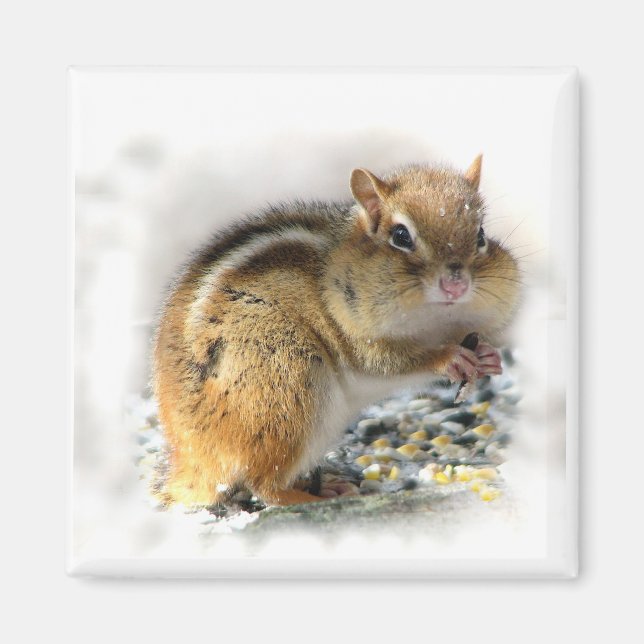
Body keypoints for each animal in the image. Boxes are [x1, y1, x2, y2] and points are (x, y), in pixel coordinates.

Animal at [152, 155, 520, 507]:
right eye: (401, 236)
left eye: (481, 235)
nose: (456, 285)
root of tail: (192, 462)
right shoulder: (356, 335)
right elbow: (388, 363)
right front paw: (449, 357)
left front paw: (488, 356)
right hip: (284, 380)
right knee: (263, 485)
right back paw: (310, 497)